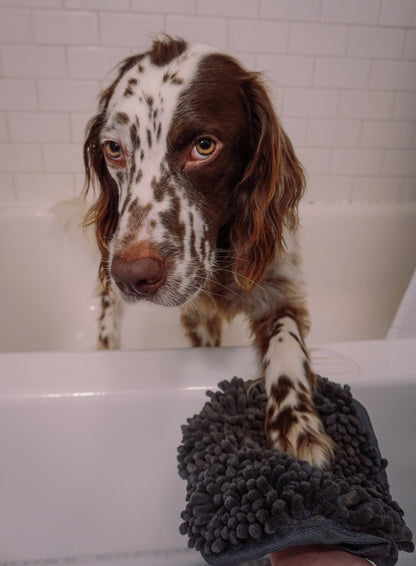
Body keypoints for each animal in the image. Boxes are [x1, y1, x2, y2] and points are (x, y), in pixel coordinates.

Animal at [83, 36, 334, 470]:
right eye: (114, 149)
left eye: (204, 146)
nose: (132, 275)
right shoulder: (193, 310)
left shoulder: (280, 286)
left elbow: (287, 342)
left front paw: (297, 424)